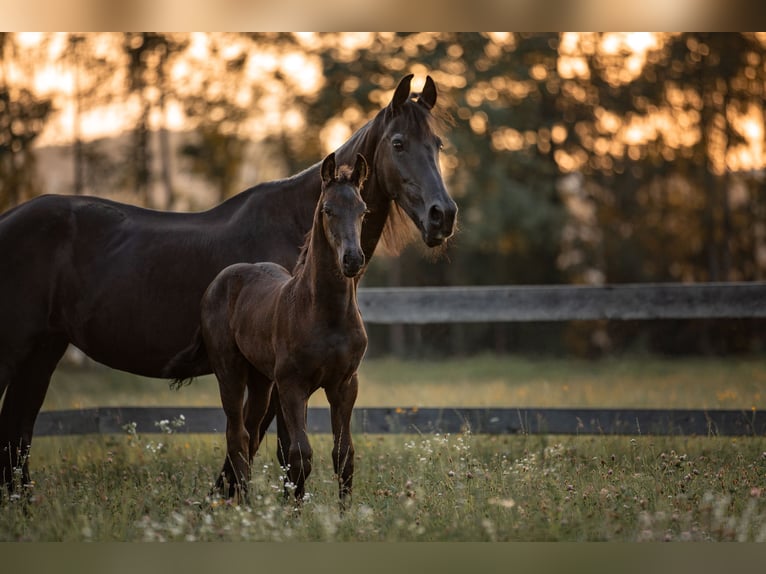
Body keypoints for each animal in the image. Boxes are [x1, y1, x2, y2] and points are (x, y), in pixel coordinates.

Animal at [197, 152, 368, 504]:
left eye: (363, 210)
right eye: (327, 210)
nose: (353, 260)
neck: (325, 315)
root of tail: (221, 280)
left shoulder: (345, 385)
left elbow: (343, 455)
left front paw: (345, 513)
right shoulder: (293, 386)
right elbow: (300, 454)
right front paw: (294, 509)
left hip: (261, 380)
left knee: (250, 434)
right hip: (230, 371)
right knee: (237, 434)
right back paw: (245, 505)